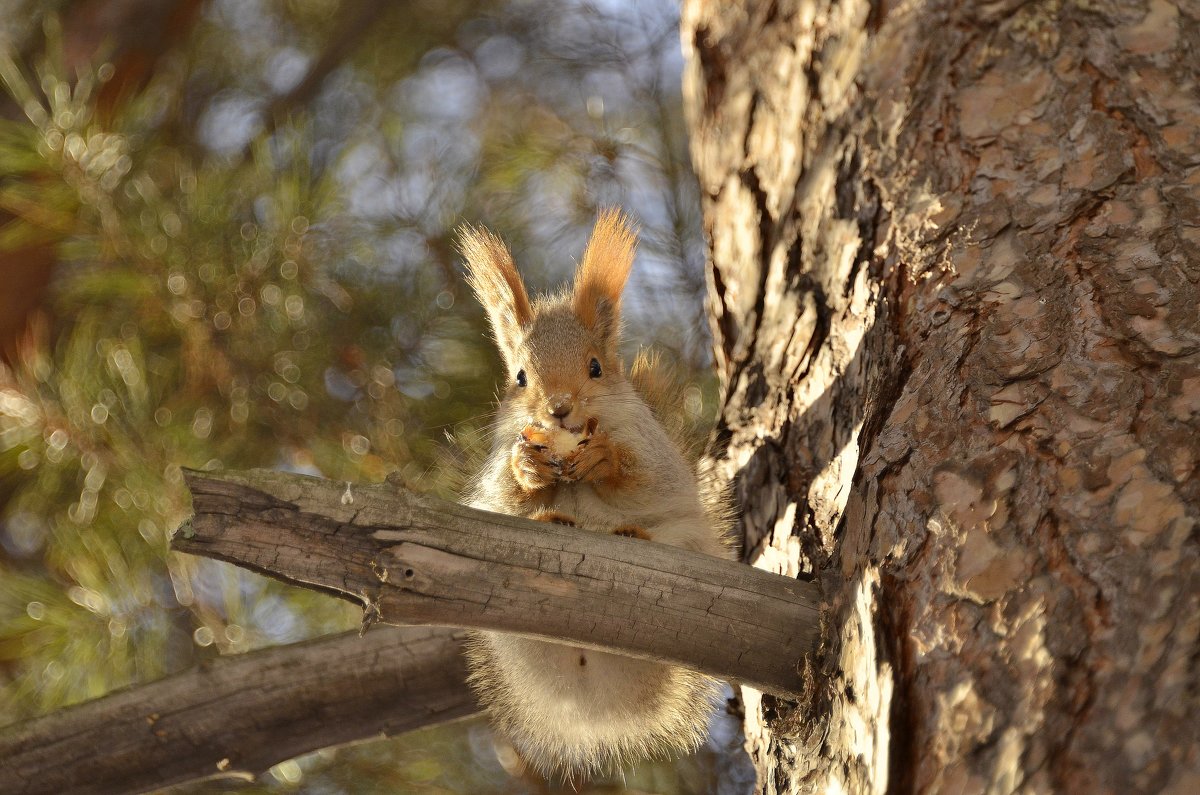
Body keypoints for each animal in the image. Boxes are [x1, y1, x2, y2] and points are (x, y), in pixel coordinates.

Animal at [453, 210, 729, 778]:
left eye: (596, 366)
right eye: (520, 377)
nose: (558, 408)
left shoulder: (654, 453)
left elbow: (647, 479)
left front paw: (604, 459)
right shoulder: (497, 468)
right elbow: (505, 493)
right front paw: (528, 468)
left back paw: (633, 535)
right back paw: (552, 521)